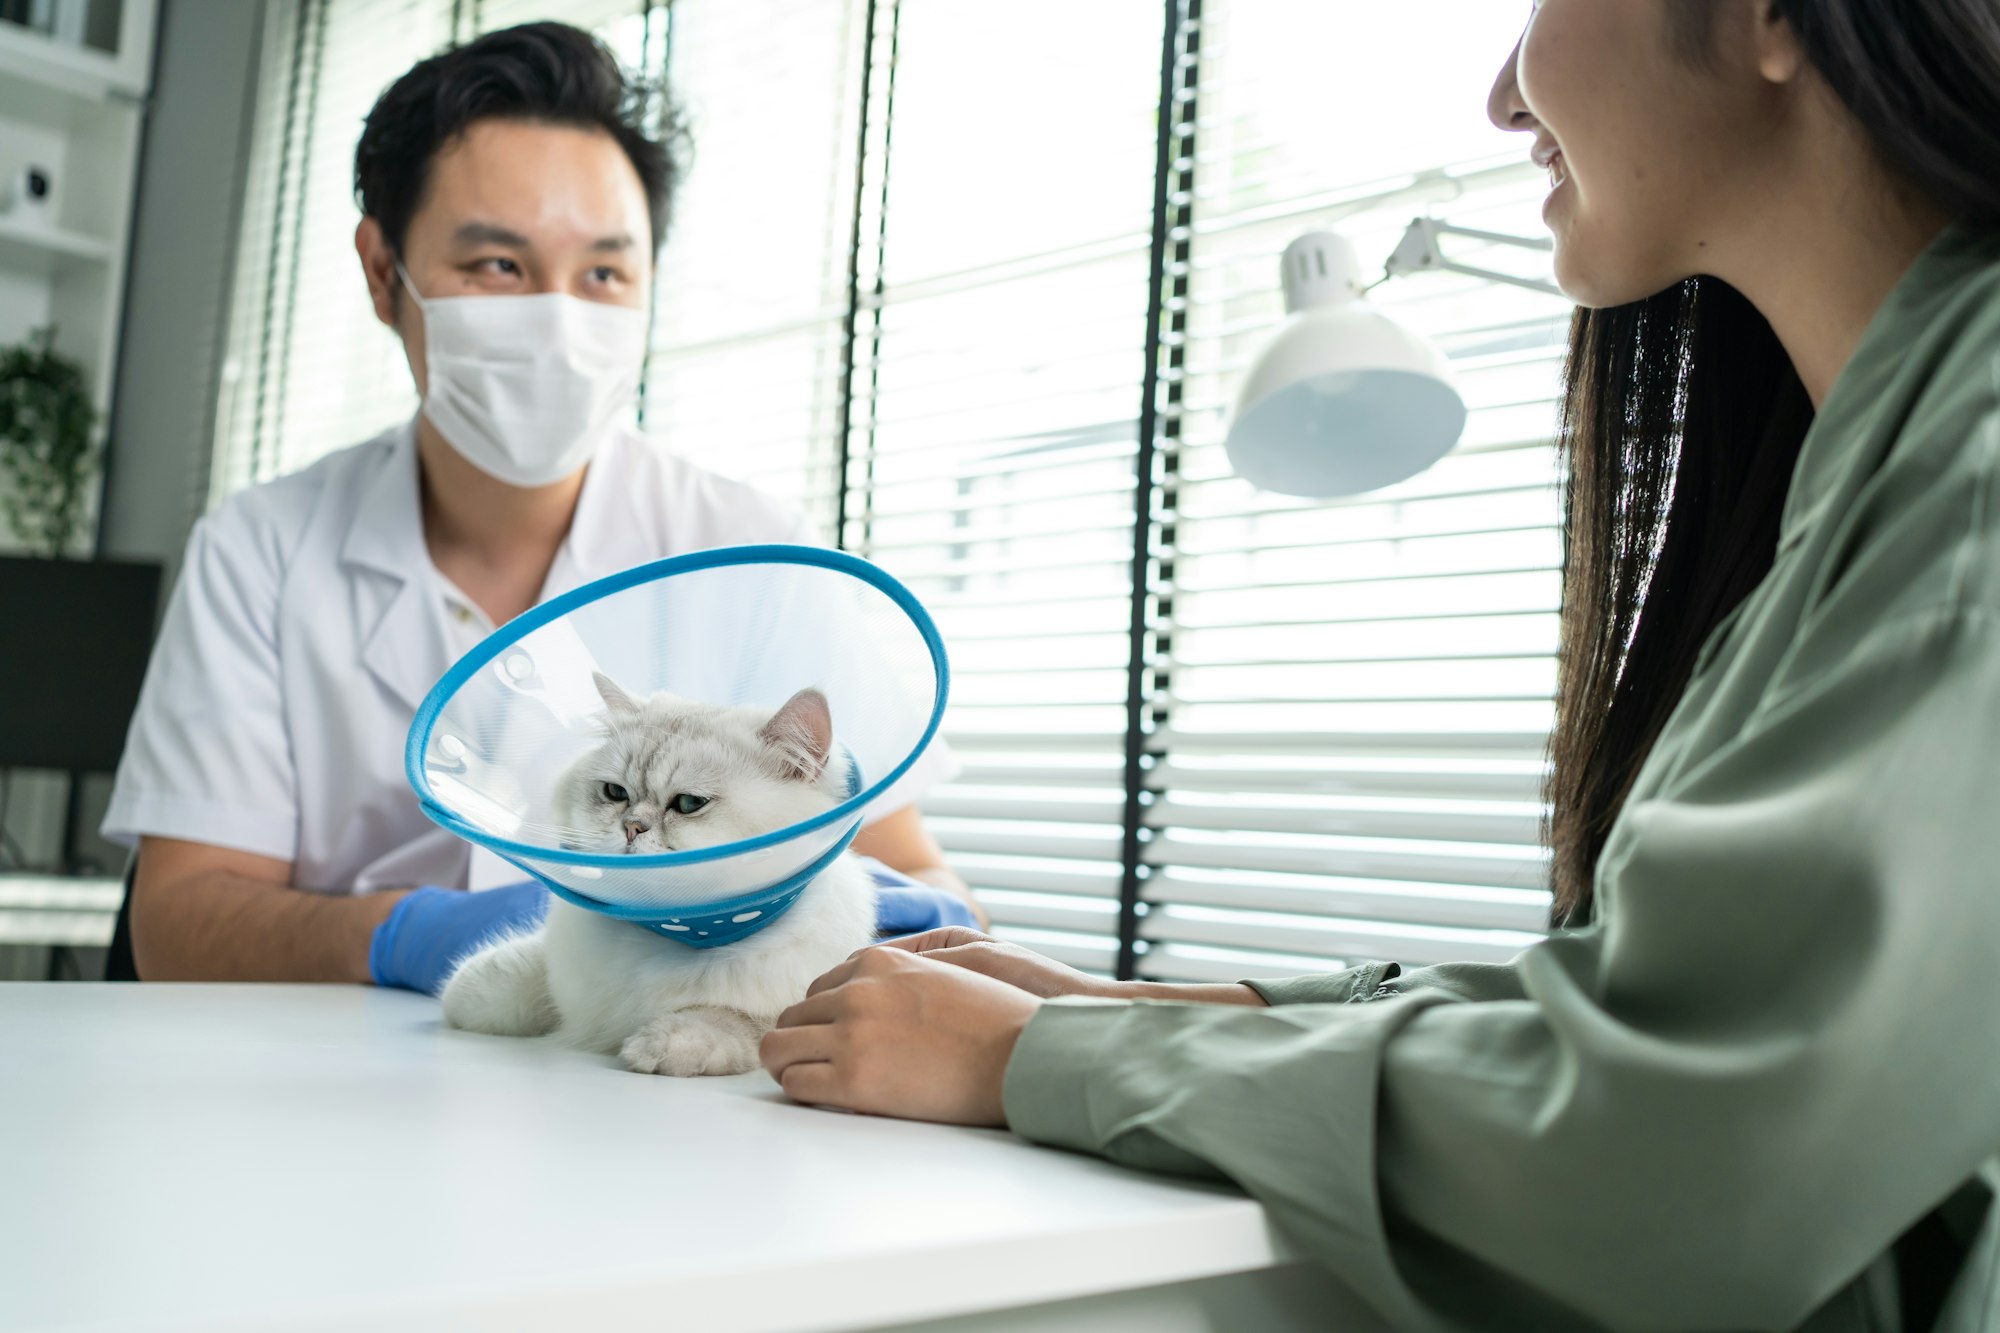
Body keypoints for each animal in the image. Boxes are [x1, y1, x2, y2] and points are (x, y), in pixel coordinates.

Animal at [442, 668, 880, 1072]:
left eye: (689, 803)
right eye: (615, 793)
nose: (632, 827)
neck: (684, 932)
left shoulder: (790, 1008)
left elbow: (729, 1018)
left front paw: (653, 1046)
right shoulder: (558, 971)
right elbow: (518, 979)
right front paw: (459, 995)